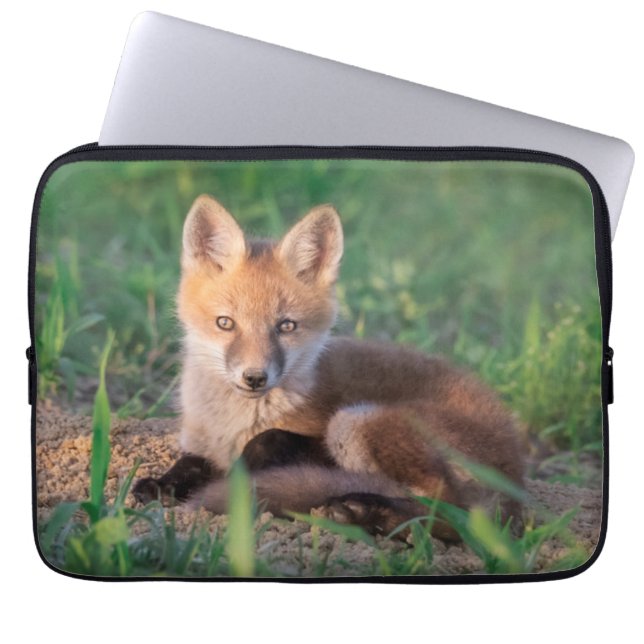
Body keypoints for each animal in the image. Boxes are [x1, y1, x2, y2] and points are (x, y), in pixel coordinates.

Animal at [133, 194, 525, 539]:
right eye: (225, 323)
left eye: (286, 326)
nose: (255, 377)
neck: (232, 424)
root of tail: (517, 474)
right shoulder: (200, 445)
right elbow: (189, 463)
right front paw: (163, 484)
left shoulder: (313, 438)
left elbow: (267, 440)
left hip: (355, 420)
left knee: (454, 515)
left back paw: (368, 512)